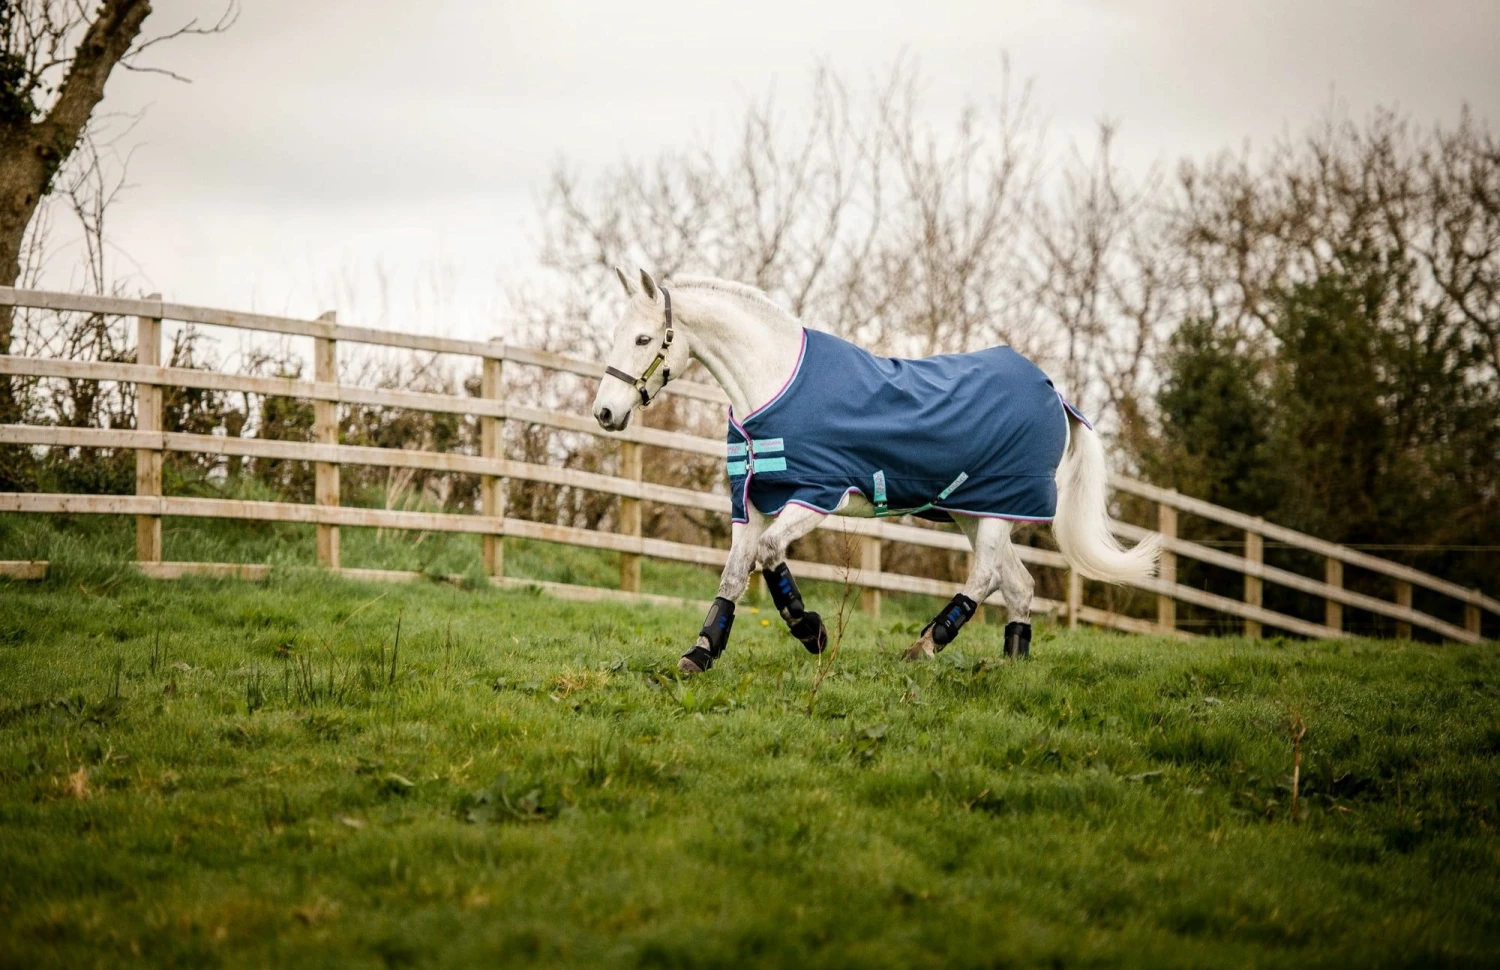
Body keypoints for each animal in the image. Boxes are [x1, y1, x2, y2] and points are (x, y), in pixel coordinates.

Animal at [591, 269, 1160, 674]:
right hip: (974, 511)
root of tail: (1055, 394)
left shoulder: (817, 494)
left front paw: (811, 632)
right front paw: (700, 653)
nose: (605, 413)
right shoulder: (750, 500)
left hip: (1000, 508)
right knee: (1017, 584)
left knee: (986, 577)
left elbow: (769, 555)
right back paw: (1011, 667)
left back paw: (924, 647)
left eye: (643, 340)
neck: (773, 382)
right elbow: (735, 572)